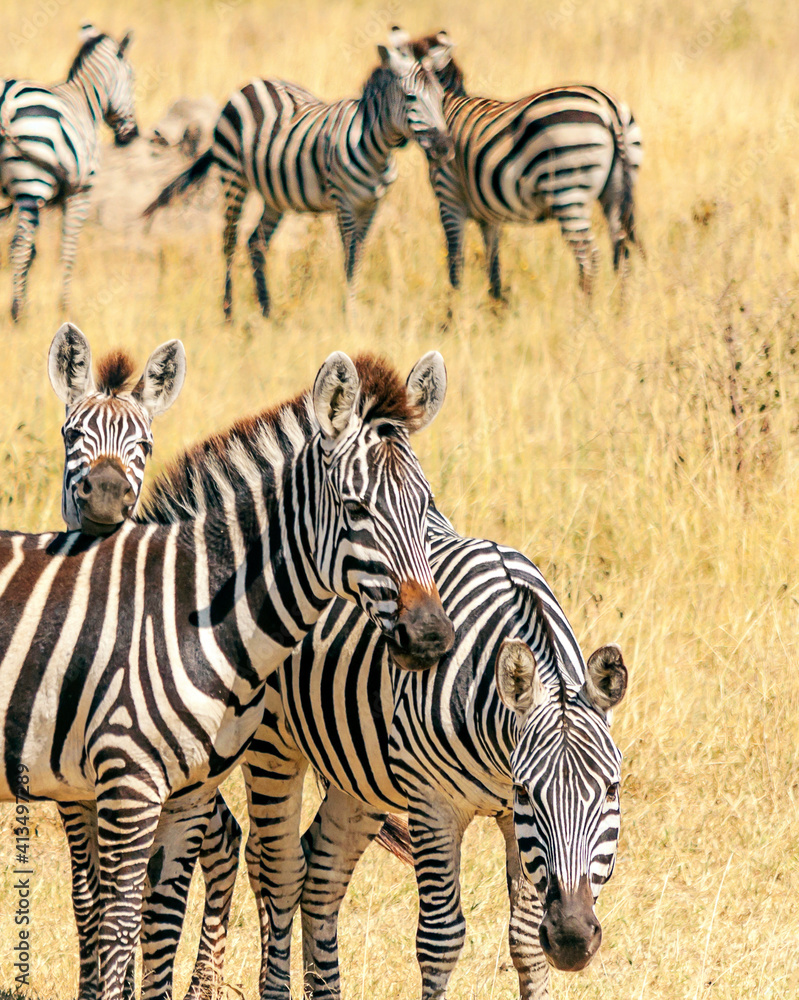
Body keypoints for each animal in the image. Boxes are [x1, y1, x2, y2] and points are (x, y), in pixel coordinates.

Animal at [0, 24, 138, 320]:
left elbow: (36, 252)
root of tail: (7, 100)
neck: (86, 101)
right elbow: (68, 248)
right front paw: (64, 308)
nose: (131, 135)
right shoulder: (80, 193)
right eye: (132, 79)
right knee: (19, 245)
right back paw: (17, 315)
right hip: (32, 183)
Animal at [0, 349, 453, 1000]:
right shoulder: (114, 785)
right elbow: (109, 918)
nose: (431, 637)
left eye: (426, 508)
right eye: (354, 508)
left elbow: (155, 916)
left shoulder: (175, 791)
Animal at [142, 37, 453, 320]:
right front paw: (349, 317)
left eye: (441, 98)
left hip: (274, 194)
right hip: (233, 177)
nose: (445, 148)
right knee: (229, 241)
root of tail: (254, 83)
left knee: (256, 242)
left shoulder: (372, 205)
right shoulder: (344, 203)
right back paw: (229, 314)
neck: (375, 146)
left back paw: (267, 312)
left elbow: (358, 256)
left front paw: (353, 312)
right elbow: (349, 257)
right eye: (411, 97)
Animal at [409, 30, 643, 298]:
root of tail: (608, 106)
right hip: (615, 193)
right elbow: (493, 265)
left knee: (589, 257)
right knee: (621, 254)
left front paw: (454, 307)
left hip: (568, 190)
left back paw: (583, 310)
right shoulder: (488, 213)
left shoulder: (449, 197)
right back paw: (621, 310)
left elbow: (455, 262)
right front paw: (495, 305)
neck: (447, 107)